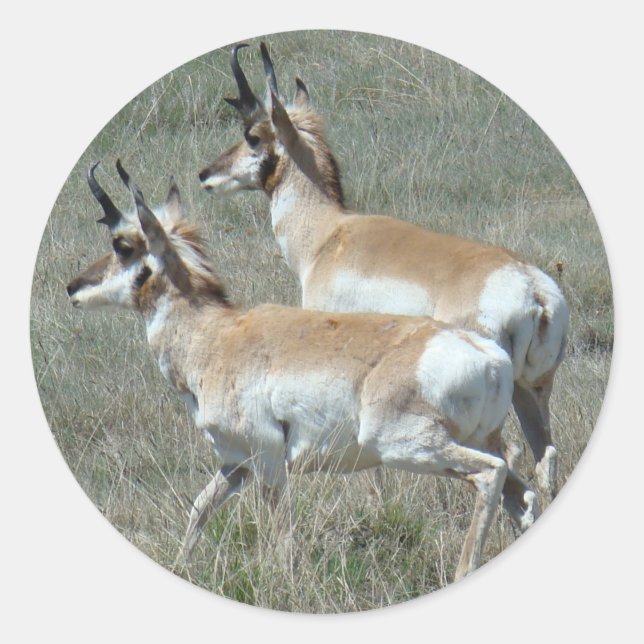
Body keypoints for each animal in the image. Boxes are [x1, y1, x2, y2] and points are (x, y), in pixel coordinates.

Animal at [67, 161, 537, 581]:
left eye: (122, 245)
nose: (72, 286)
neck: (216, 337)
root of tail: (488, 354)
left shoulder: (270, 459)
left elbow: (281, 538)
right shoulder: (235, 463)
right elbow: (199, 508)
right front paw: (182, 566)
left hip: (407, 446)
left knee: (491, 473)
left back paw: (463, 571)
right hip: (471, 441)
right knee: (523, 492)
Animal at [198, 43, 570, 502]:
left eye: (253, 135)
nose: (205, 175)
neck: (329, 233)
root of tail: (533, 289)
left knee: (509, 455)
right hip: (531, 391)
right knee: (545, 453)